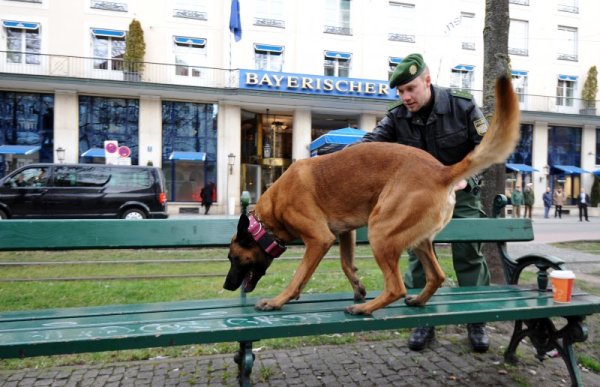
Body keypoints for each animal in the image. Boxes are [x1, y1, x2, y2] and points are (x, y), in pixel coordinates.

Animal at [225, 77, 520, 316]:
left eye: (234, 258)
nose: (227, 286)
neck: (272, 211)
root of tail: (441, 170)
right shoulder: (345, 234)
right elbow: (346, 263)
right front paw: (357, 286)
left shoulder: (319, 240)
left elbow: (299, 276)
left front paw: (278, 301)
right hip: (418, 240)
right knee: (435, 276)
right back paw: (416, 301)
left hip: (381, 231)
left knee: (397, 287)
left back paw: (365, 309)